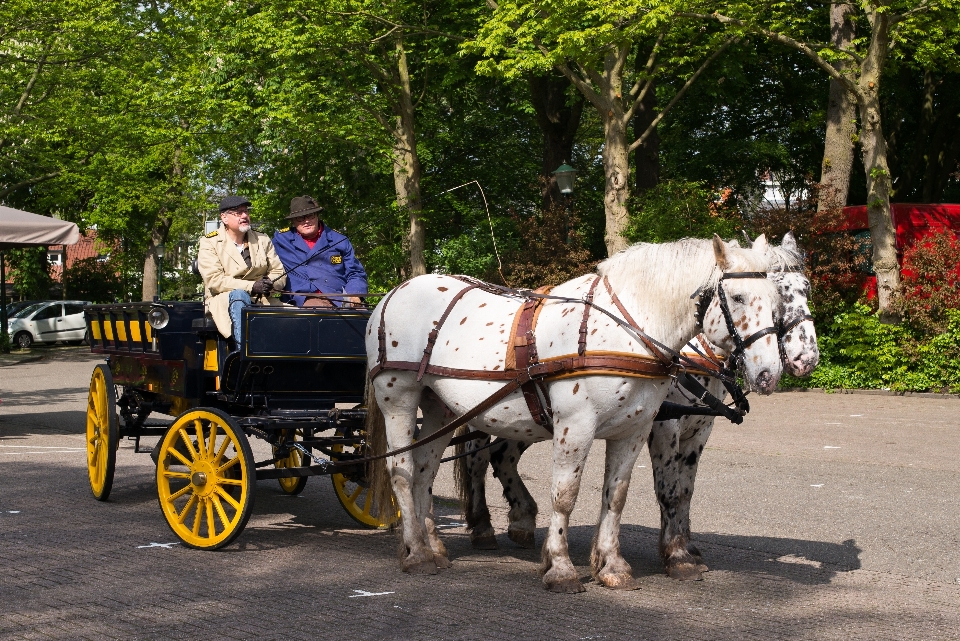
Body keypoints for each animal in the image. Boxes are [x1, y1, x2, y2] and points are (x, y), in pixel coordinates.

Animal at [364, 235, 784, 592]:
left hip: (439, 407)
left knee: (425, 471)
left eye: (777, 300)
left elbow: (616, 496)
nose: (770, 373)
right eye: (738, 296)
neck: (628, 330)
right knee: (401, 469)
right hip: (399, 397)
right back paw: (416, 553)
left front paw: (611, 566)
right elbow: (565, 496)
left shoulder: (633, 430)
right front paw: (560, 567)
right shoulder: (576, 426)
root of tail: (391, 296)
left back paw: (432, 546)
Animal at [454, 231, 820, 580]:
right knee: (476, 459)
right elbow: (668, 489)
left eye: (804, 289)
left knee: (502, 456)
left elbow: (685, 490)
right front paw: (676, 554)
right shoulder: (665, 426)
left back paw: (521, 519)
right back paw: (483, 526)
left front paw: (686, 546)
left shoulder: (698, 432)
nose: (804, 360)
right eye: (778, 293)